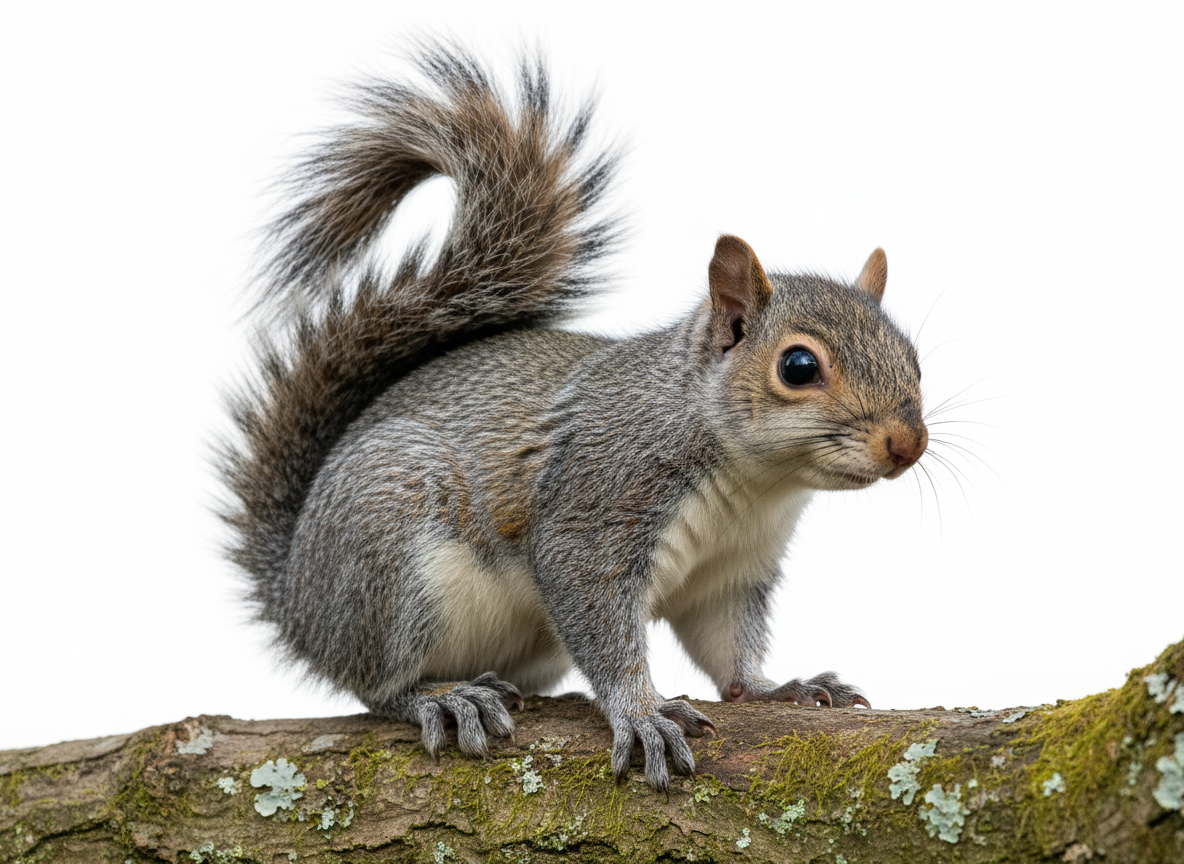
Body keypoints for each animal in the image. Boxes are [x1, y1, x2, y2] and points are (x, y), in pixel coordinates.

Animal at [217, 44, 928, 792]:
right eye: (797, 366)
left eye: (914, 357)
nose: (907, 443)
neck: (756, 482)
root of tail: (295, 596)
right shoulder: (596, 500)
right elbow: (596, 615)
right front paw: (642, 712)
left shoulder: (732, 570)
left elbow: (728, 646)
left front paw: (774, 687)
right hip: (387, 553)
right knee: (373, 680)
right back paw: (440, 697)